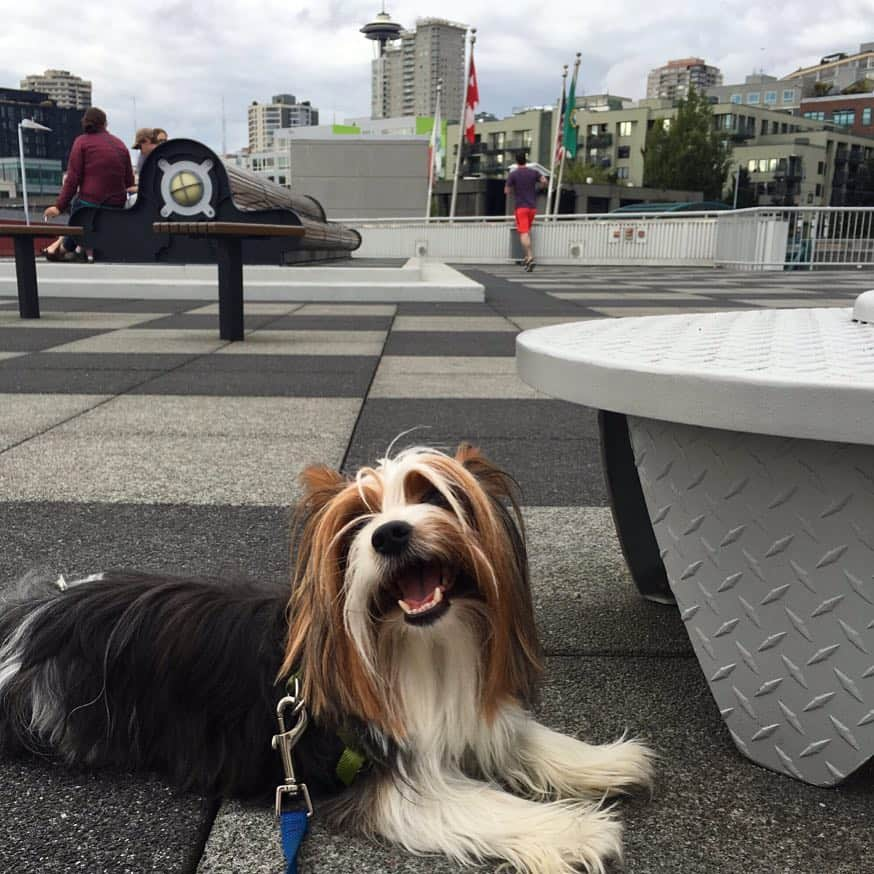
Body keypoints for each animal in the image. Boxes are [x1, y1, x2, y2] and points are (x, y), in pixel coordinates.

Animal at [0, 446, 652, 868]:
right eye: (357, 522)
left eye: (435, 497)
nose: (390, 533)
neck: (421, 645)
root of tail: (34, 614)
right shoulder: (378, 772)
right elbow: (476, 802)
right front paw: (575, 831)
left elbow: (519, 737)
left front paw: (605, 763)